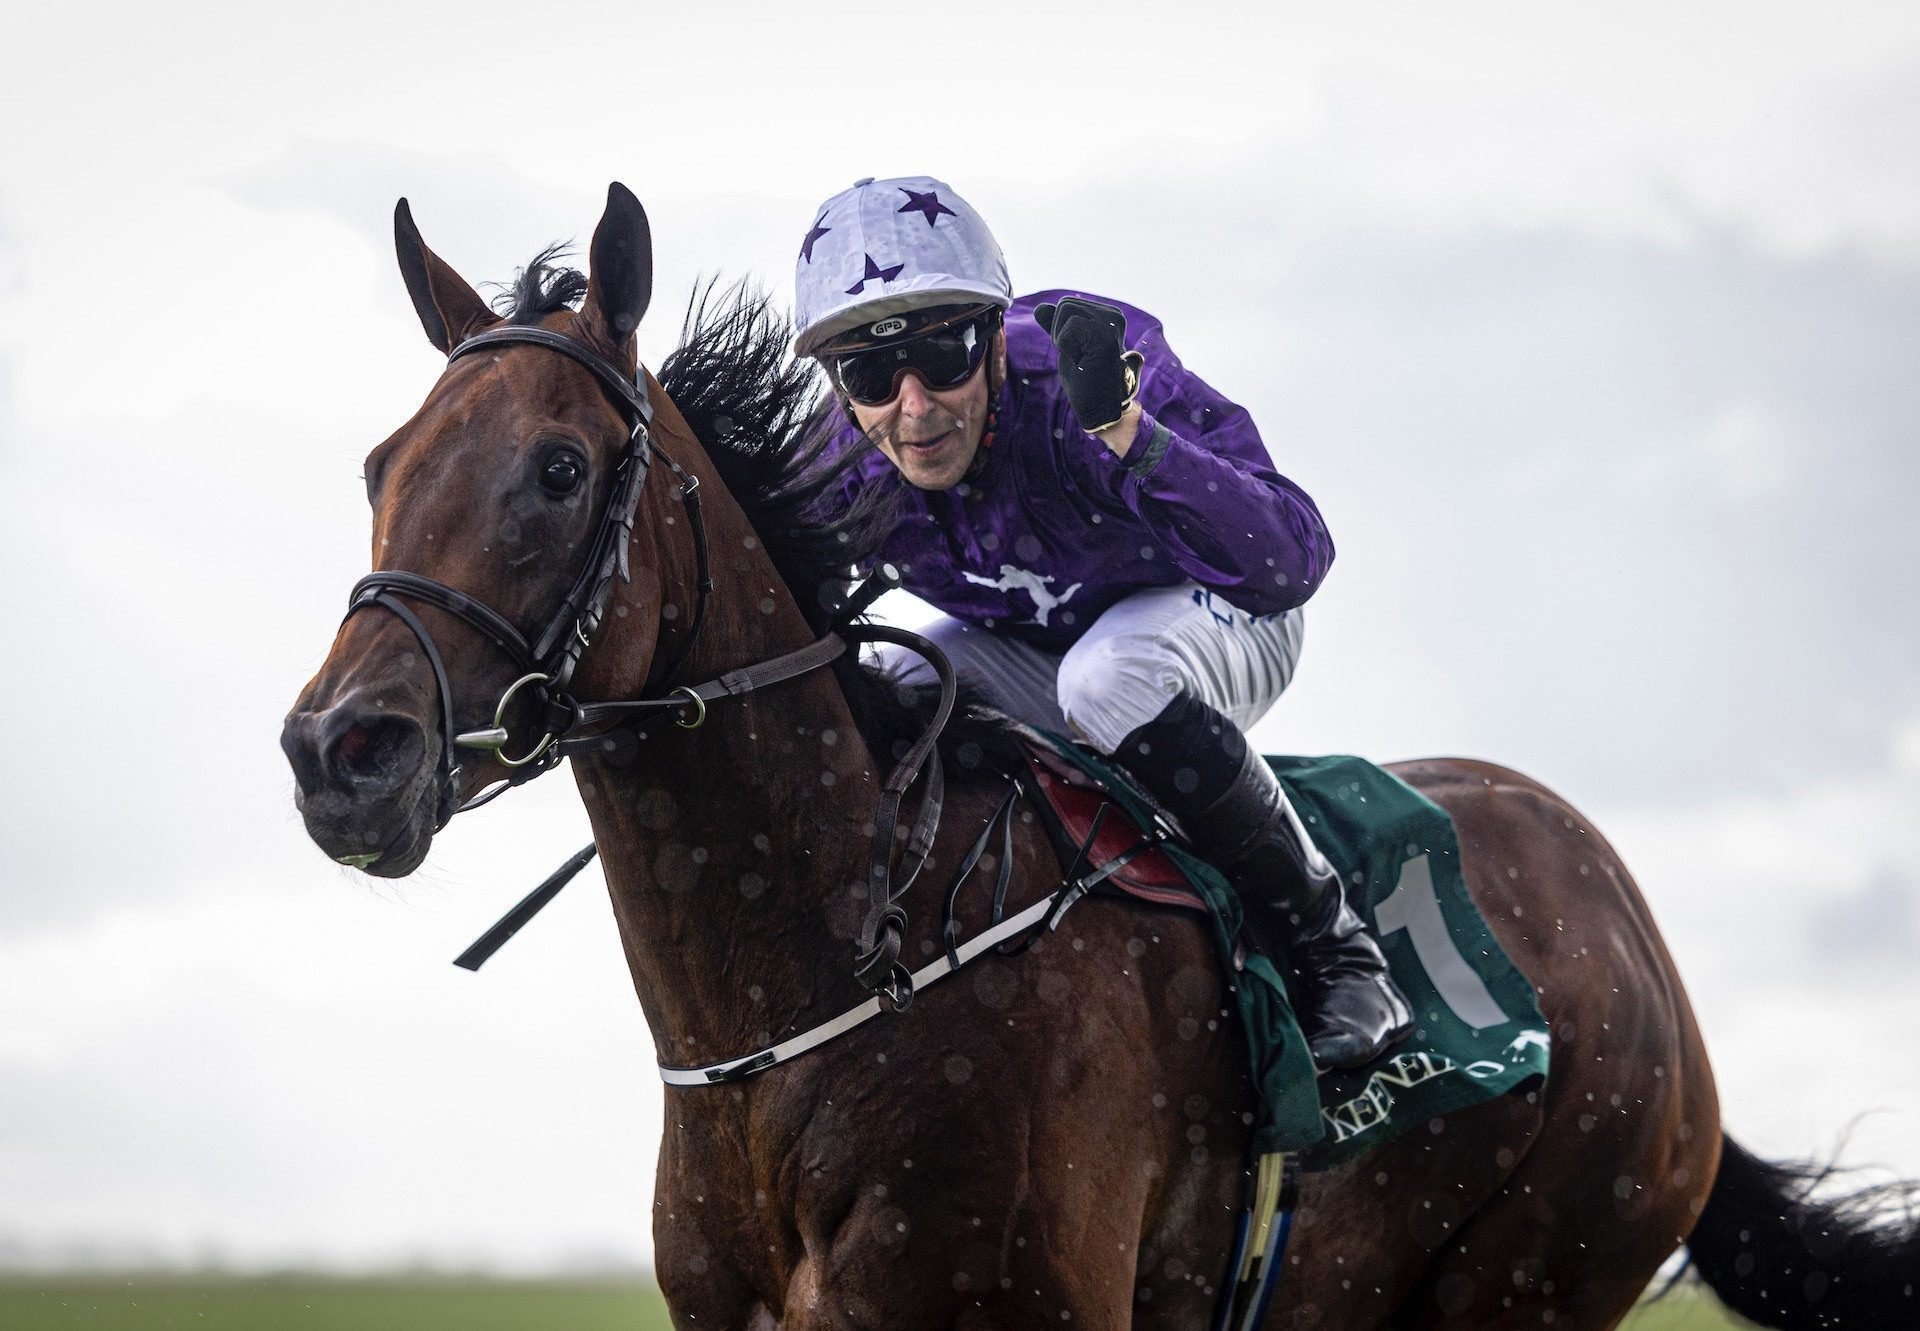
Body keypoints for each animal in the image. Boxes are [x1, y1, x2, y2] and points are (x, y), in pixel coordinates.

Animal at [282, 183, 1919, 1329]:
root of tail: (1627, 914)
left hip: (1534, 1268)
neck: (828, 976)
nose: (336, 751)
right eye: (378, 465)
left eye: (559, 467)